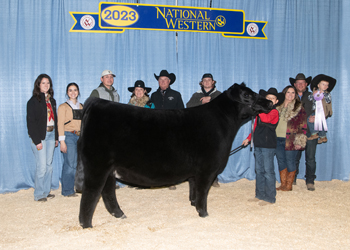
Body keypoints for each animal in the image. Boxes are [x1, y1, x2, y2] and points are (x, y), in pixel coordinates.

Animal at [78, 83, 272, 228]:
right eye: (247, 95)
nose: (270, 103)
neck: (222, 122)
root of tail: (96, 102)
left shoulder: (196, 171)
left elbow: (193, 189)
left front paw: (193, 204)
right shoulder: (207, 169)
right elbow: (203, 192)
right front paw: (203, 213)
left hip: (109, 169)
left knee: (108, 192)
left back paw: (119, 214)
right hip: (97, 166)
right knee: (90, 194)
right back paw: (86, 225)